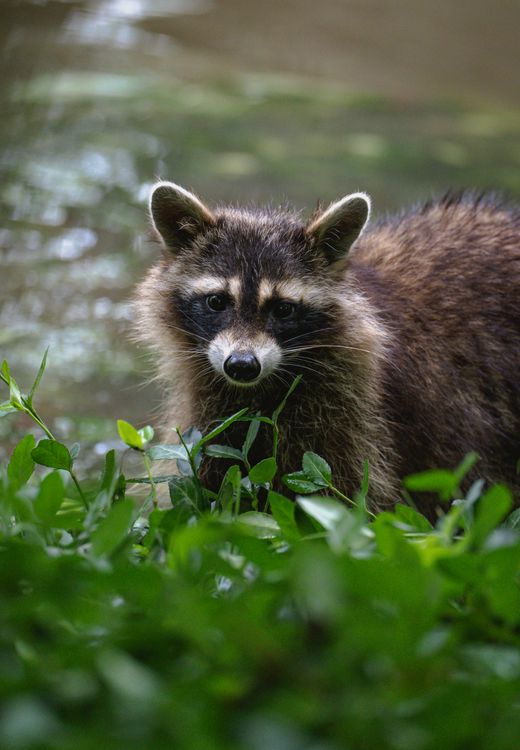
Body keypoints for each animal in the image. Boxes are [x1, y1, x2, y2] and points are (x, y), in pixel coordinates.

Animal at [135, 182, 520, 517]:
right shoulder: (210, 411)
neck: (260, 389)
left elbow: (347, 494)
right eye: (217, 301)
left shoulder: (357, 413)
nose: (242, 365)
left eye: (283, 309)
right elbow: (208, 483)